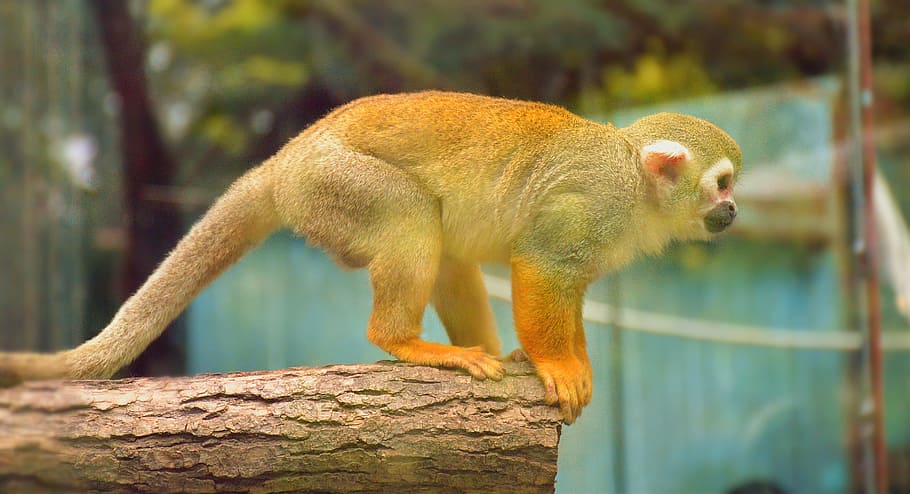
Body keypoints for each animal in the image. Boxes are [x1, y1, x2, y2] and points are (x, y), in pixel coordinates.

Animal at [0, 91, 742, 424]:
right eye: (724, 183)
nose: (734, 212)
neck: (636, 185)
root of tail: (287, 158)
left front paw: (557, 360)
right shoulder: (592, 204)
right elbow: (542, 265)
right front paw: (560, 364)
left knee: (444, 243)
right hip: (333, 185)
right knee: (413, 218)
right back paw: (407, 343)